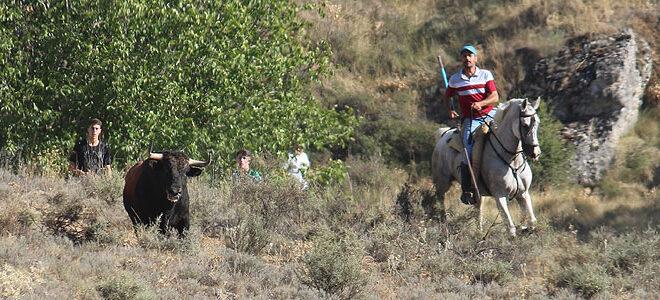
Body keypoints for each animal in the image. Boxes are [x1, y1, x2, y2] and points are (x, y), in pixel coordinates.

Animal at [434, 99, 540, 237]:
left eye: (537, 123)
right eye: (525, 124)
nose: (535, 153)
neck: (511, 160)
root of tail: (443, 134)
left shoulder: (523, 194)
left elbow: (532, 221)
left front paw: (526, 229)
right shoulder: (500, 196)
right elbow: (510, 228)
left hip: (477, 194)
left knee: (478, 211)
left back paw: (479, 233)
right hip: (442, 182)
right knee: (440, 200)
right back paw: (443, 222)